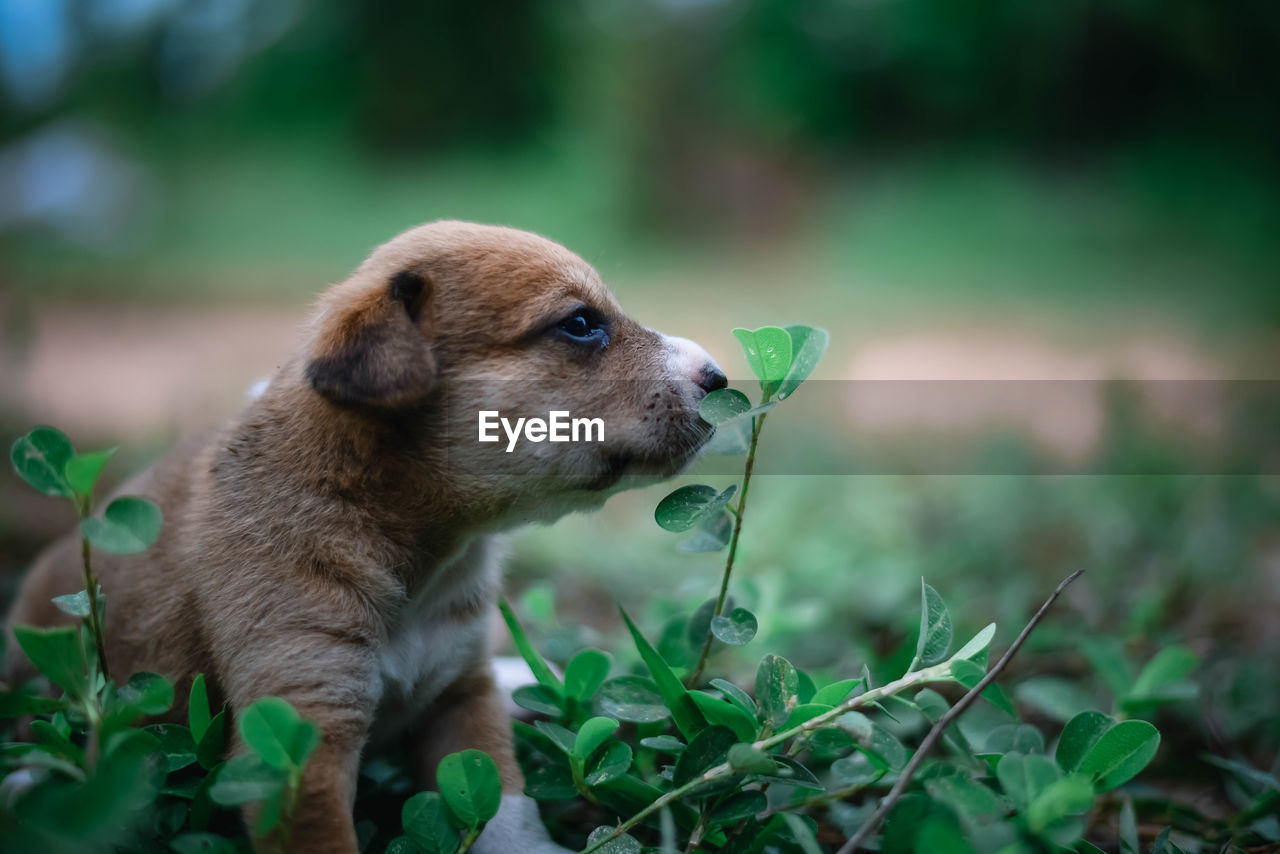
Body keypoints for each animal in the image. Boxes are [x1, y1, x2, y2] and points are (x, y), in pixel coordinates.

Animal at [5, 222, 727, 854]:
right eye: (579, 324)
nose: (720, 378)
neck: (423, 553)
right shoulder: (303, 732)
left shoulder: (462, 696)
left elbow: (505, 806)